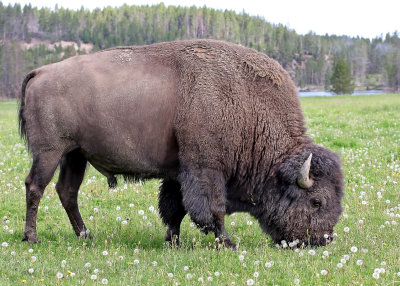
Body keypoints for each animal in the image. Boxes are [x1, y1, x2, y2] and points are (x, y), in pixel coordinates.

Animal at [18, 39, 344, 248]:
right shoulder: (205, 169)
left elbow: (175, 208)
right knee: (36, 187)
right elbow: (212, 208)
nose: (322, 240)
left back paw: (86, 236)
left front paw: (173, 241)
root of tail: (41, 71)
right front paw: (227, 242)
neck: (247, 106)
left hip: (75, 155)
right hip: (50, 152)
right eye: (316, 201)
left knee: (67, 192)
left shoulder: (178, 173)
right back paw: (32, 238)